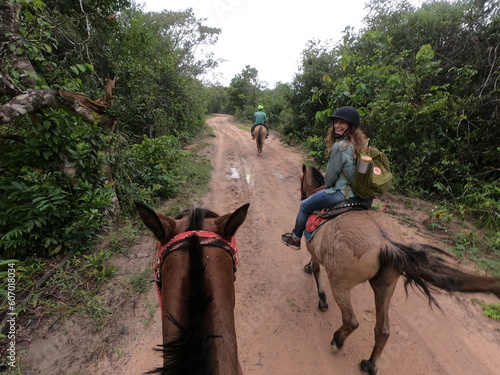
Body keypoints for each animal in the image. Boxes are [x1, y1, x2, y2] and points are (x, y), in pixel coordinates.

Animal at [296, 165, 500, 375]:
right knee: (383, 330)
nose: (302, 196)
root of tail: (386, 242)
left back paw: (337, 341)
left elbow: (315, 268)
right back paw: (370, 364)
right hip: (385, 286)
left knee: (351, 320)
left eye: (301, 179)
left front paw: (321, 298)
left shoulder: (315, 250)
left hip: (341, 283)